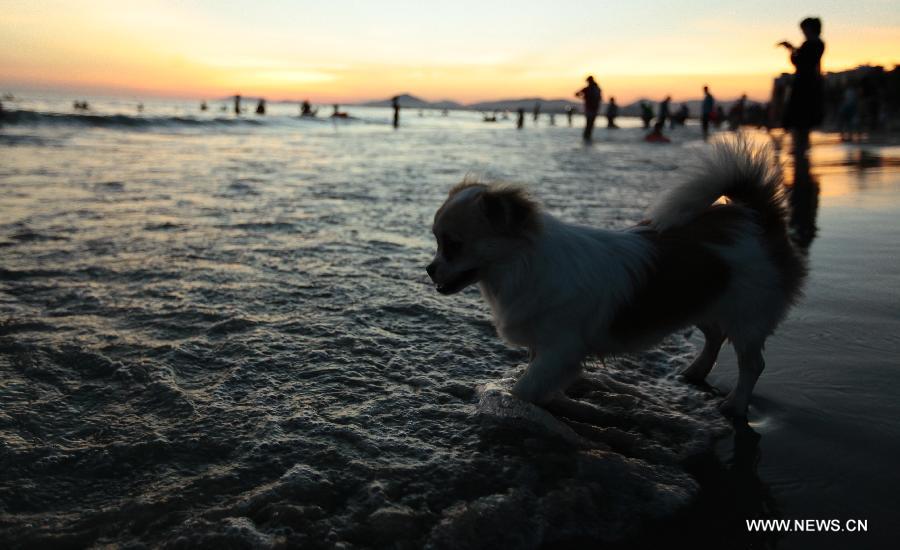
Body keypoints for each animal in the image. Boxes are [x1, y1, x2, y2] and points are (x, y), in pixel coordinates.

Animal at [426, 141, 804, 418]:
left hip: (747, 315)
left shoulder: (559, 349)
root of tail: (757, 217)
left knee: (751, 362)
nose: (429, 269)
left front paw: (515, 405)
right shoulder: (545, 349)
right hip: (703, 299)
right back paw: (695, 372)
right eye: (436, 241)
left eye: (452, 245)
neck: (519, 267)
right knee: (714, 335)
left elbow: (525, 388)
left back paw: (736, 405)